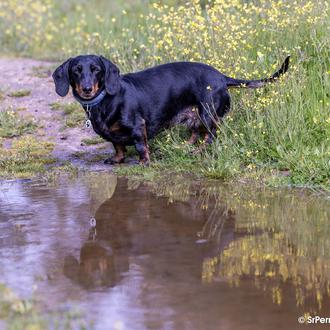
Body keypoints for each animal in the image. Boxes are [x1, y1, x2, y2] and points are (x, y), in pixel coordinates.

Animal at [51, 55, 288, 166]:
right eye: (76, 70)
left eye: (96, 70)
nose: (87, 89)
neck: (105, 101)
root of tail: (222, 77)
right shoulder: (113, 135)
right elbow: (117, 145)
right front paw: (117, 159)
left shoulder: (138, 126)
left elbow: (140, 146)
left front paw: (144, 162)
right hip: (195, 115)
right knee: (196, 132)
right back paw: (185, 146)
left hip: (207, 113)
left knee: (211, 135)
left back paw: (198, 152)